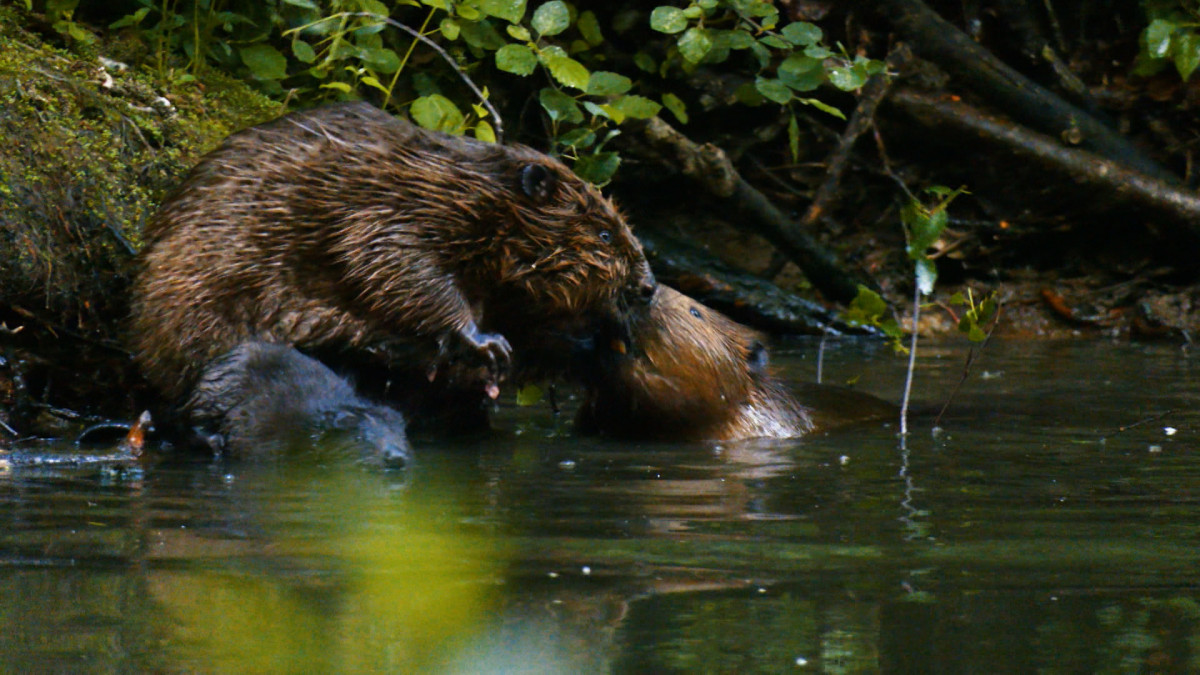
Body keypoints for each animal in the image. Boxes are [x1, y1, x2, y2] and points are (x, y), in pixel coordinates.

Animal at [130, 100, 652, 403]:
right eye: (604, 234)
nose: (647, 287)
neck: (464, 185)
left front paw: (610, 328)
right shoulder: (394, 209)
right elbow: (389, 259)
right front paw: (486, 342)